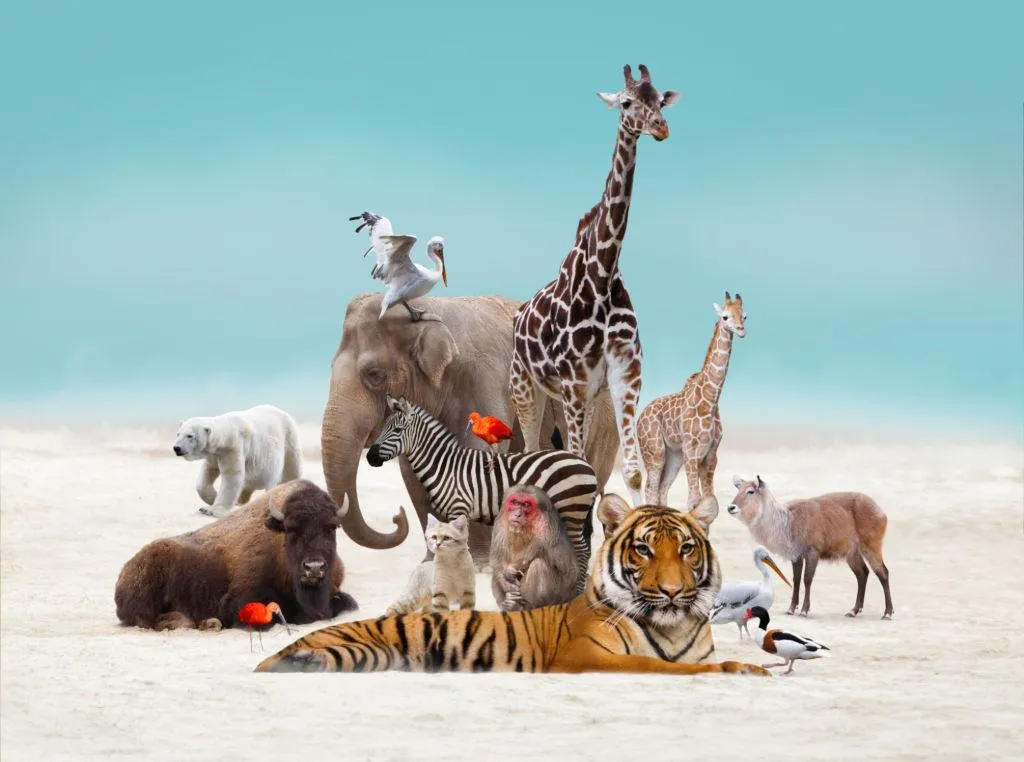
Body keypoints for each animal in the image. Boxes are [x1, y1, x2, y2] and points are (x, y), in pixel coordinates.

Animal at [509, 64, 681, 506]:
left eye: (659, 99)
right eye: (627, 102)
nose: (661, 127)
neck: (602, 275)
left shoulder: (625, 377)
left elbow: (633, 472)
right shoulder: (573, 382)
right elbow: (576, 464)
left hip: (585, 396)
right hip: (525, 385)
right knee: (529, 451)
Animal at [636, 292, 748, 508]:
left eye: (745, 316)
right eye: (725, 317)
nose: (741, 330)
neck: (711, 400)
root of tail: (639, 416)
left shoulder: (711, 453)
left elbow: (711, 501)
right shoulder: (691, 451)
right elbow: (694, 500)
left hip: (674, 456)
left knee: (662, 488)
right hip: (655, 451)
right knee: (650, 489)